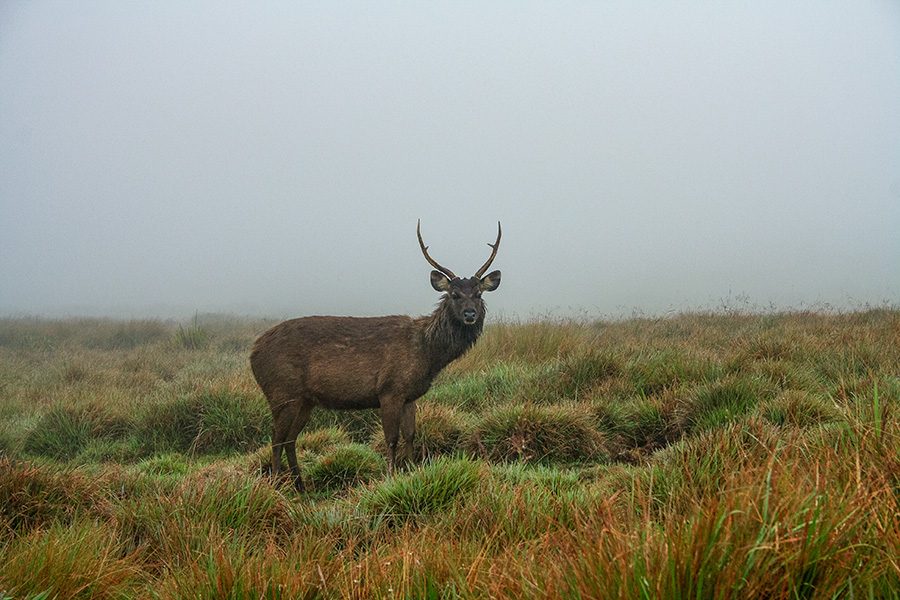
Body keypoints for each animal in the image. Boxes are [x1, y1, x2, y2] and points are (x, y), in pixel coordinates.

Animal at [250, 220, 500, 488]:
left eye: (478, 294)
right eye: (454, 294)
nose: (470, 314)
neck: (426, 354)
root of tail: (253, 352)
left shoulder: (409, 395)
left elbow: (410, 435)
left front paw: (411, 471)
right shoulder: (389, 389)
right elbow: (391, 438)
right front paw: (390, 476)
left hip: (305, 400)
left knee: (290, 438)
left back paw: (300, 485)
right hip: (282, 391)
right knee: (276, 437)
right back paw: (277, 484)